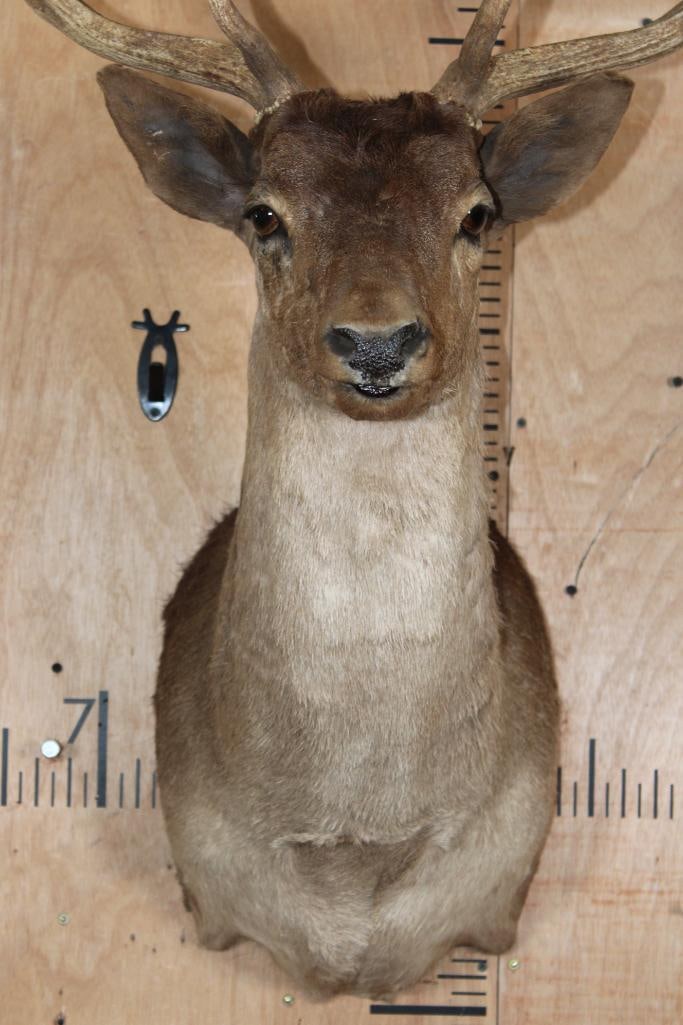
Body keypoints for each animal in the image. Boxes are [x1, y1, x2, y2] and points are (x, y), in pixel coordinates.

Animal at [23, 0, 683, 1004]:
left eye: (476, 212)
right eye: (263, 212)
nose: (377, 341)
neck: (355, 838)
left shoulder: (501, 896)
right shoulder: (206, 898)